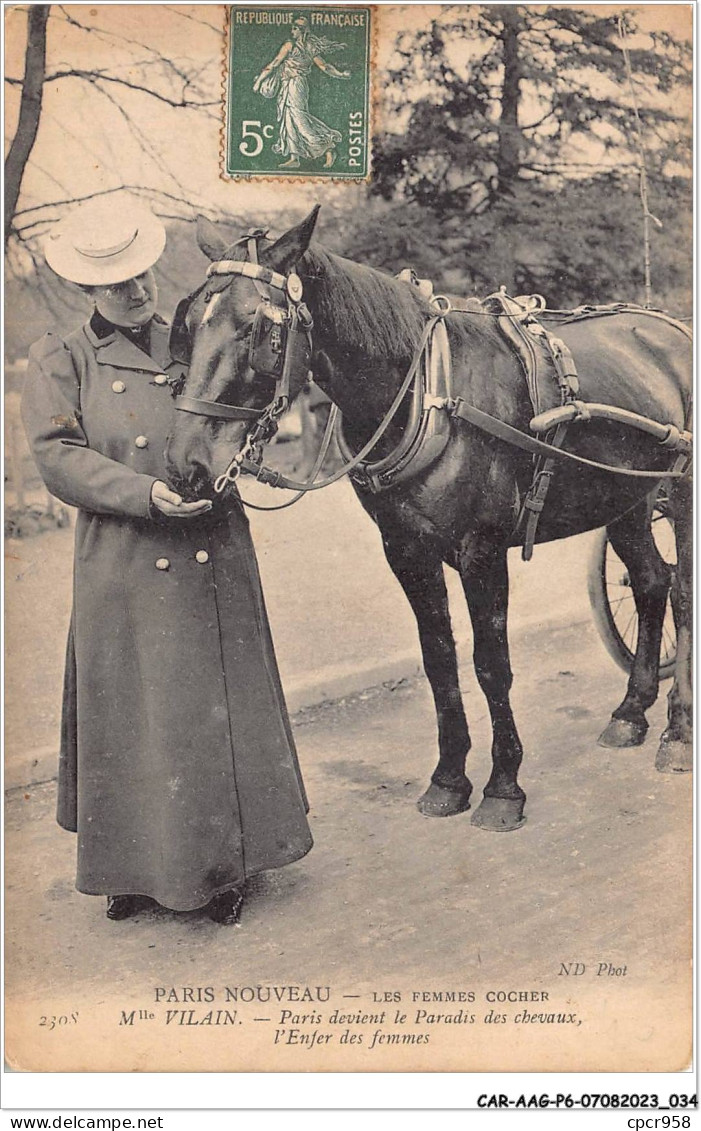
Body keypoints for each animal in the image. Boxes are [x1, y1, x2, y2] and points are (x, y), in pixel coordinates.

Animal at [166, 210, 696, 832]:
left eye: (256, 328)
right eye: (188, 322)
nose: (185, 465)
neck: (427, 392)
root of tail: (671, 328)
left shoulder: (481, 551)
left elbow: (490, 664)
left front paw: (503, 787)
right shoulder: (406, 551)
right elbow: (439, 660)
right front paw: (448, 780)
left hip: (679, 492)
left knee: (681, 591)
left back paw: (678, 731)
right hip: (625, 496)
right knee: (650, 581)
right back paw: (632, 711)